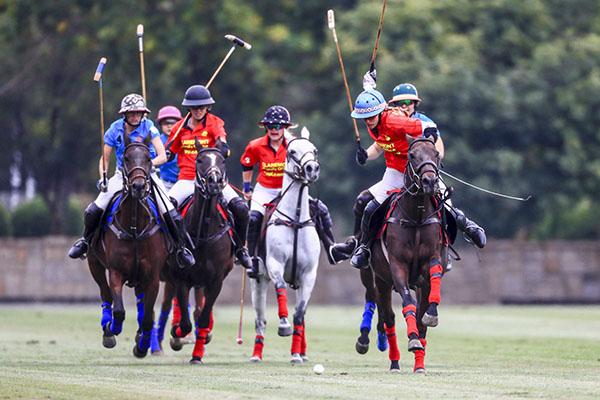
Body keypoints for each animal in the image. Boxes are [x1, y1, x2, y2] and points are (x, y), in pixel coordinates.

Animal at [86, 134, 168, 356]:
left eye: (148, 158)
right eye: (127, 158)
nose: (138, 186)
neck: (134, 228)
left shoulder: (153, 276)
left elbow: (148, 317)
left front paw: (142, 345)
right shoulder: (116, 271)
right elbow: (119, 310)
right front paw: (111, 329)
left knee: (142, 306)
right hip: (94, 263)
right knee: (105, 293)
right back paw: (107, 327)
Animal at [169, 143, 237, 362]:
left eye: (222, 160)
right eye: (200, 160)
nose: (214, 182)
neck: (204, 232)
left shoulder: (216, 280)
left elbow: (204, 318)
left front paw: (198, 354)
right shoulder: (182, 278)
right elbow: (185, 323)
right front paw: (176, 334)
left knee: (202, 311)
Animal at [250, 127, 324, 362]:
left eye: (314, 150)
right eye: (291, 152)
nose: (312, 169)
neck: (296, 219)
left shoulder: (308, 274)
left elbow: (299, 313)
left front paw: (296, 355)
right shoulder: (275, 264)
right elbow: (281, 288)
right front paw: (283, 325)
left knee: (302, 314)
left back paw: (302, 351)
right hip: (258, 281)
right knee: (260, 319)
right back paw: (256, 354)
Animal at [370, 136, 446, 374]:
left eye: (436, 154)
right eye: (412, 155)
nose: (430, 181)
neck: (417, 216)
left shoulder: (431, 259)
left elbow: (433, 284)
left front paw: (432, 315)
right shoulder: (397, 266)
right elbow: (407, 302)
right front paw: (412, 340)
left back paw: (419, 364)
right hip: (381, 281)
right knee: (389, 319)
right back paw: (395, 362)